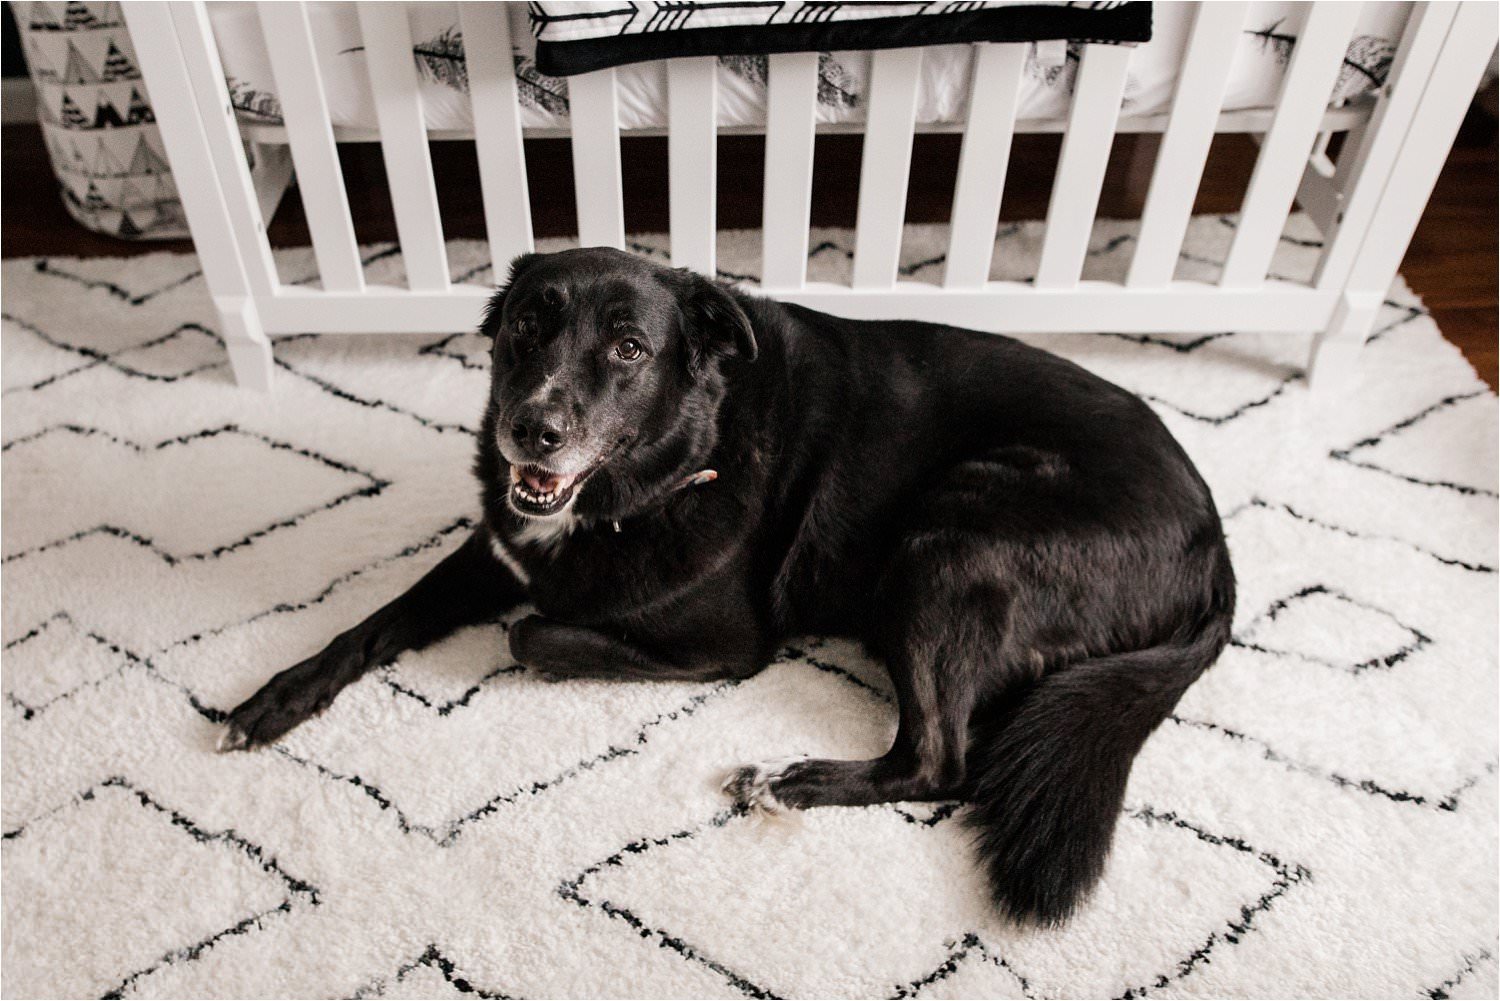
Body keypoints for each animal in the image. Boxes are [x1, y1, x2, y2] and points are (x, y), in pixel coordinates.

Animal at [219, 249, 1230, 924]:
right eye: (525, 326)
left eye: (629, 348)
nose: (530, 430)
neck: (668, 463)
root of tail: (1217, 551)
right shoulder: (497, 545)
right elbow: (376, 619)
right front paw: (275, 698)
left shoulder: (725, 646)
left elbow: (533, 631)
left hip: (951, 538)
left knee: (941, 759)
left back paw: (791, 779)